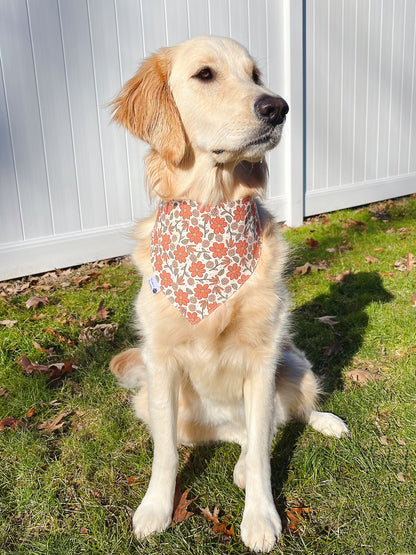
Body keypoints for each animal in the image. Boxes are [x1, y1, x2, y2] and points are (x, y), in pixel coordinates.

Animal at [108, 37, 348, 552]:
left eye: (255, 75)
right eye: (205, 74)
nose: (277, 107)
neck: (213, 211)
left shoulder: (262, 361)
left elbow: (262, 453)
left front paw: (260, 518)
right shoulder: (161, 362)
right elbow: (164, 454)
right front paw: (155, 509)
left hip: (294, 363)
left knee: (278, 422)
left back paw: (323, 422)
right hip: (152, 399)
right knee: (240, 436)